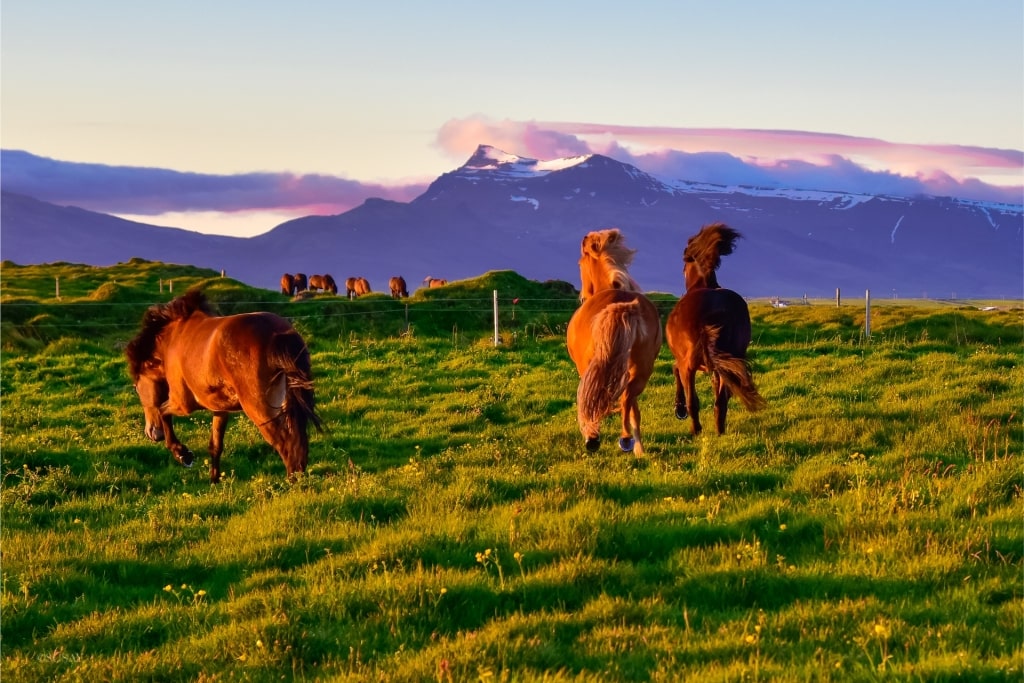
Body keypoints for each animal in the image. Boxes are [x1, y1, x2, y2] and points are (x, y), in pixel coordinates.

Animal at [125, 289, 323, 483]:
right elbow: (215, 445)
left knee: (285, 443)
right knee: (297, 441)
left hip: (260, 409)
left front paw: (183, 454)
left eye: (137, 389)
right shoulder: (220, 409)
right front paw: (214, 480)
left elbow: (162, 411)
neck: (173, 341)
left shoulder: (182, 404)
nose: (151, 433)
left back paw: (291, 483)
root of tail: (278, 335)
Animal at [566, 228, 662, 454]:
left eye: (580, 264)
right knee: (628, 399)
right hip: (642, 369)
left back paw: (595, 438)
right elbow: (634, 409)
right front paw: (639, 446)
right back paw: (629, 441)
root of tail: (624, 306)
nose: (582, 295)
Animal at [665, 222, 765, 435]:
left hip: (690, 365)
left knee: (693, 401)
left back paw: (695, 431)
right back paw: (719, 431)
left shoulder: (684, 361)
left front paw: (679, 408)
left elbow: (675, 370)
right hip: (729, 362)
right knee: (721, 402)